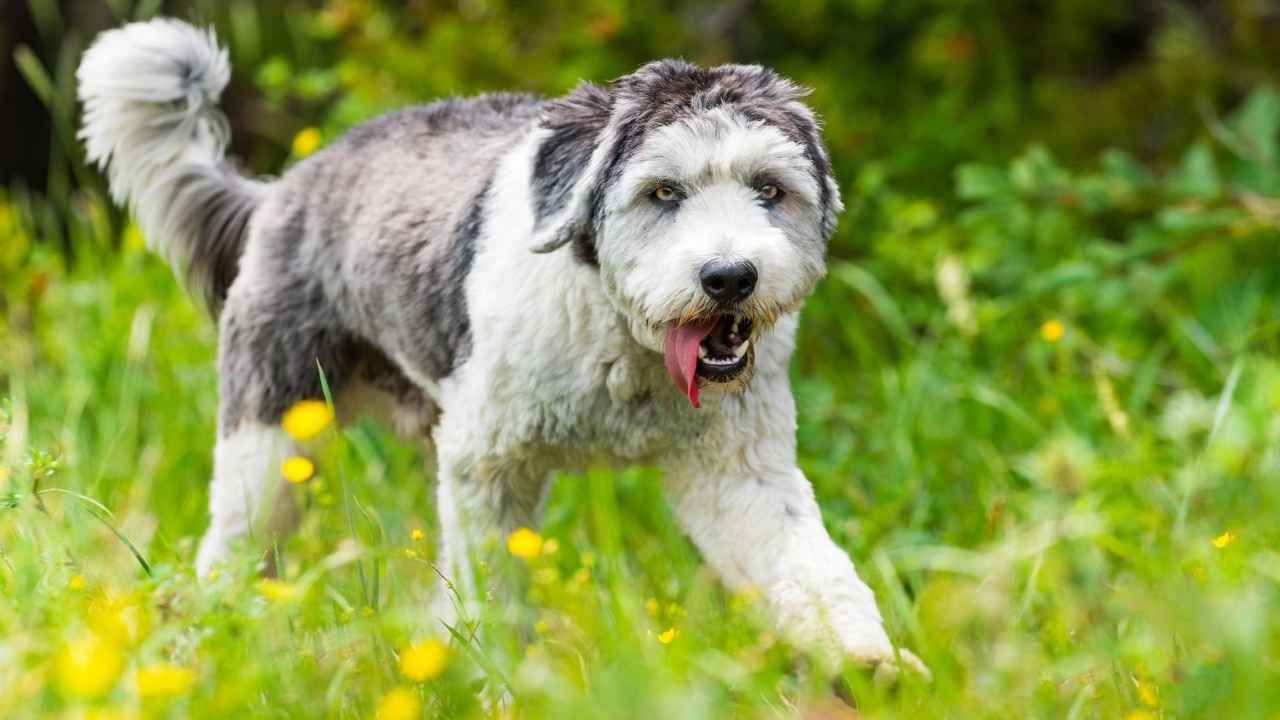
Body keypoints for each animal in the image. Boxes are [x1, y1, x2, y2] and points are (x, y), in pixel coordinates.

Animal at [80, 19, 926, 676]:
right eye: (662, 192)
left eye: (769, 189)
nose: (729, 278)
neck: (619, 339)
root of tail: (280, 191)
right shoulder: (488, 467)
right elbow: (492, 594)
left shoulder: (735, 468)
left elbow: (806, 560)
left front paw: (870, 661)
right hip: (273, 436)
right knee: (232, 547)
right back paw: (210, 641)